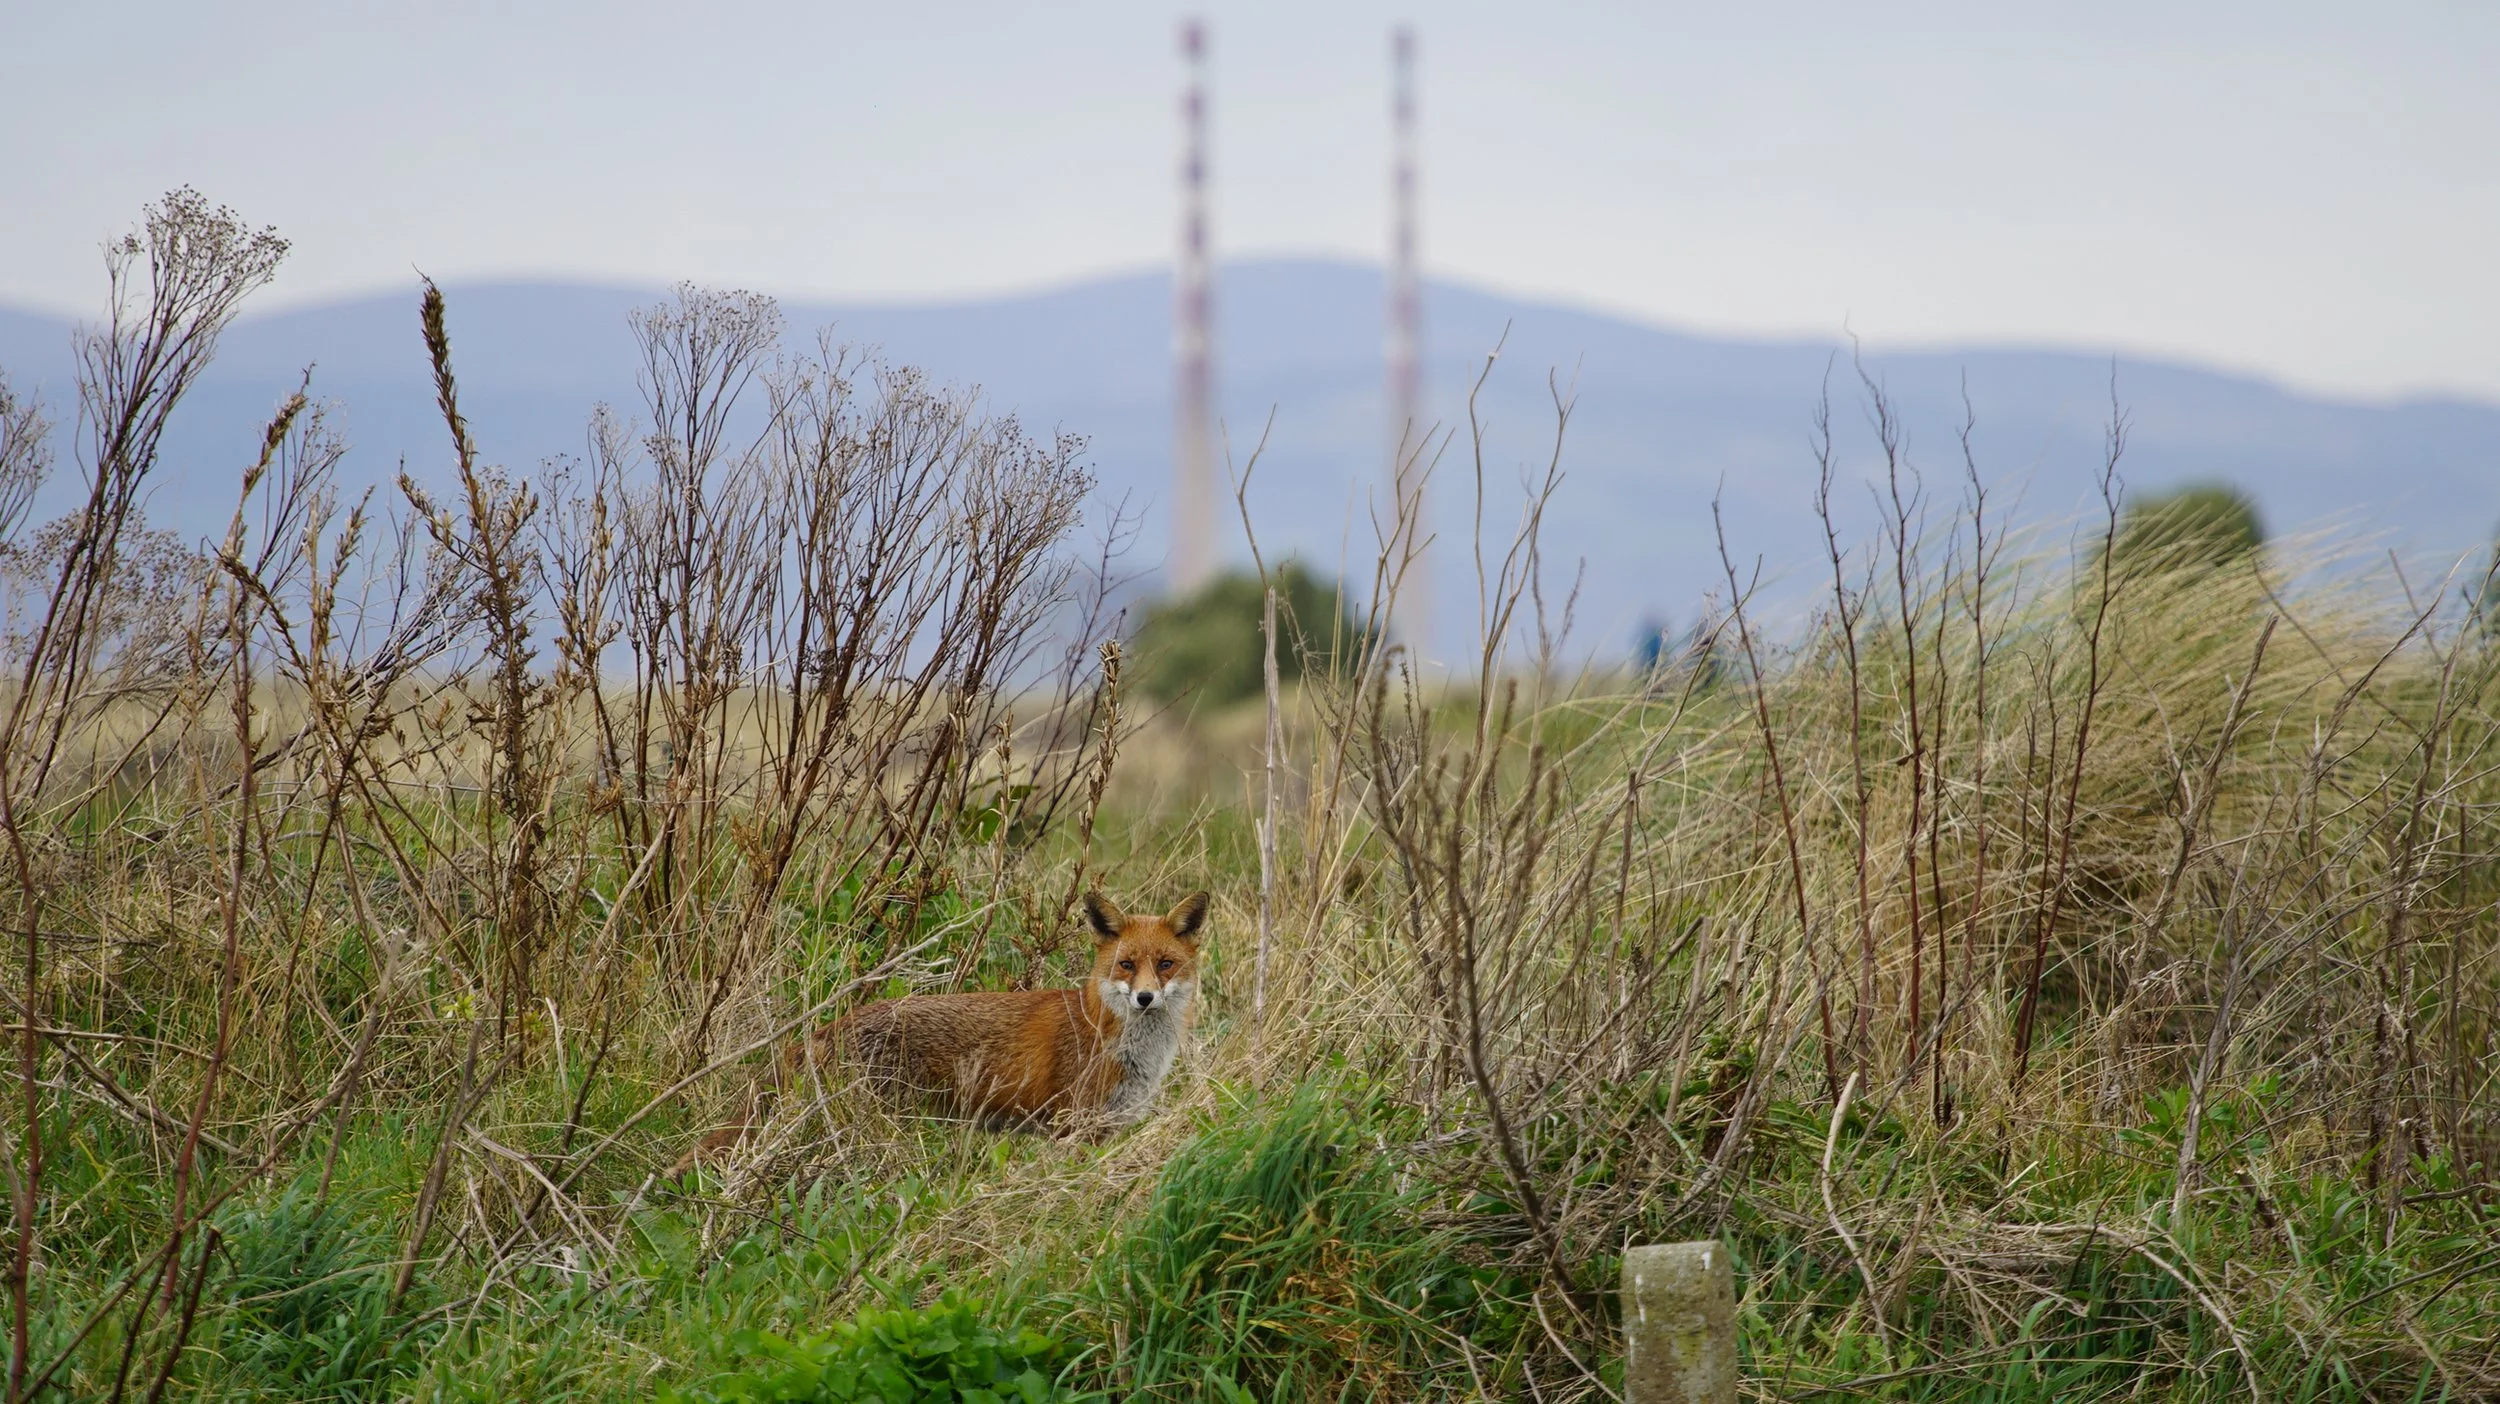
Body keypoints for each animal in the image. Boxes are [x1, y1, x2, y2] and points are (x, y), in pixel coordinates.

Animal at [678, 889, 1208, 1167]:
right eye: (1126, 965)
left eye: (1164, 964)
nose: (1145, 998)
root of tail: (829, 1026)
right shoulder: (1073, 1129)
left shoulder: (1107, 1129)